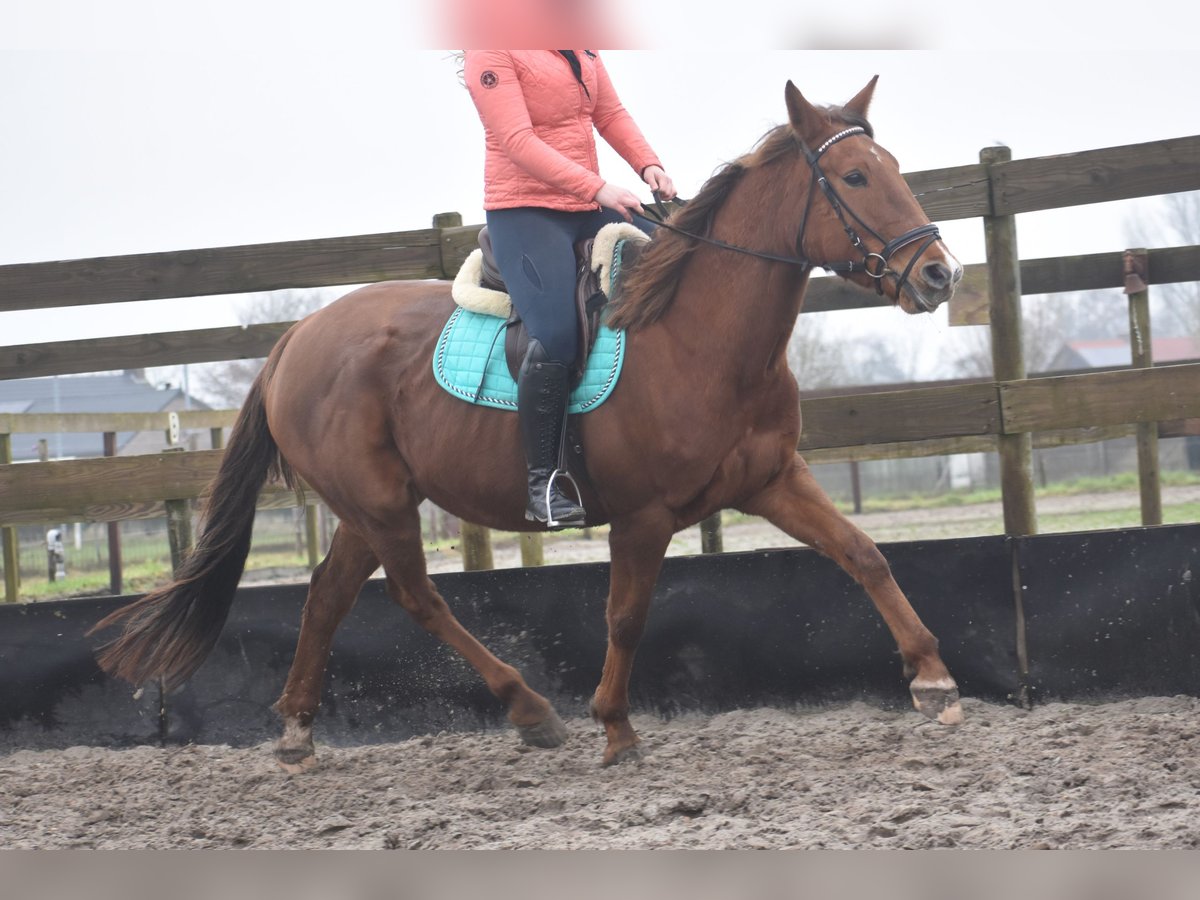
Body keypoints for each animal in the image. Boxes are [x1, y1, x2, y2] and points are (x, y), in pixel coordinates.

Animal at [91, 77, 964, 772]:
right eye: (855, 176)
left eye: (895, 170)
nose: (939, 274)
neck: (693, 335)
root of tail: (295, 339)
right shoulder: (643, 517)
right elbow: (624, 615)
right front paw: (615, 729)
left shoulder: (773, 480)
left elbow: (864, 555)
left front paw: (933, 678)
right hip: (380, 504)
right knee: (416, 597)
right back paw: (530, 710)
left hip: (367, 507)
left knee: (328, 595)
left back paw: (299, 732)